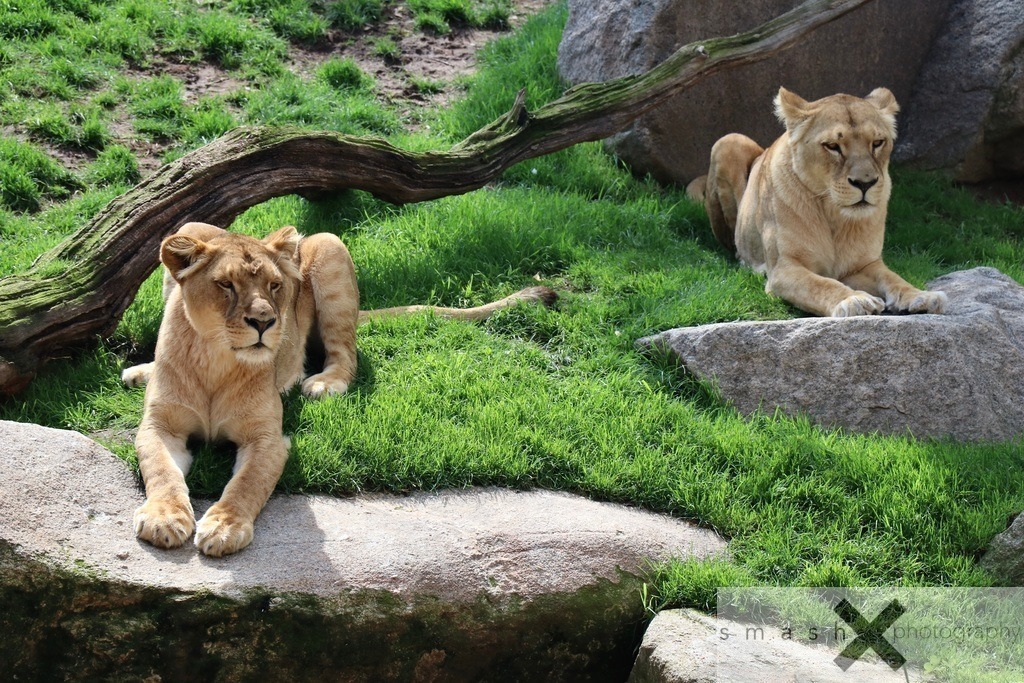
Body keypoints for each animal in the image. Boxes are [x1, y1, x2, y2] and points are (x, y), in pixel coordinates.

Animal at [122, 222, 556, 557]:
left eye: (275, 286)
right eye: (225, 284)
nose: (264, 322)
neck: (217, 363)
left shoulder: (267, 438)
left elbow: (247, 484)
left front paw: (224, 527)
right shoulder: (160, 427)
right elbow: (160, 470)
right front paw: (163, 518)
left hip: (330, 249)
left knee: (346, 353)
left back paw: (322, 383)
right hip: (190, 227)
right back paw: (142, 371)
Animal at [687, 87, 947, 317]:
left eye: (877, 143)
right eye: (832, 146)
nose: (865, 183)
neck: (836, 217)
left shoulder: (864, 265)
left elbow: (893, 278)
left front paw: (920, 296)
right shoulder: (785, 269)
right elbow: (821, 285)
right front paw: (854, 299)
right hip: (729, 141)